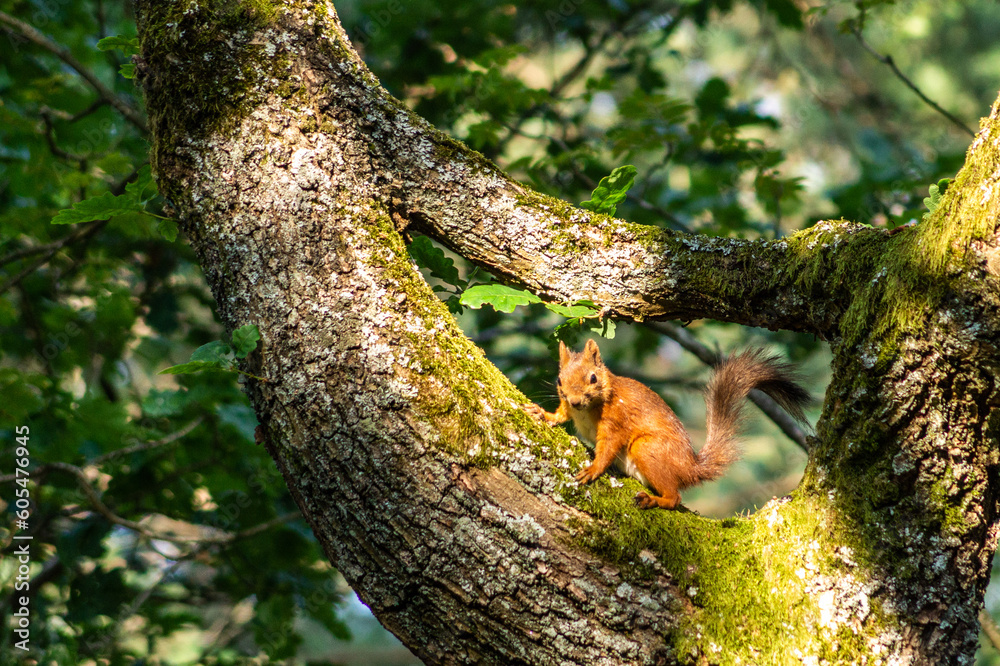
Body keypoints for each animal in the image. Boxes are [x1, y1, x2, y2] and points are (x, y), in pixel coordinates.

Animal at [526, 339, 809, 510]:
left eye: (593, 378)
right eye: (559, 380)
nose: (575, 401)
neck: (588, 409)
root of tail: (690, 468)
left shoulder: (617, 420)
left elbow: (608, 447)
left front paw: (594, 468)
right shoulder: (569, 410)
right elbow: (561, 415)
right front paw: (542, 413)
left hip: (647, 449)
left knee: (674, 498)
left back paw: (654, 500)